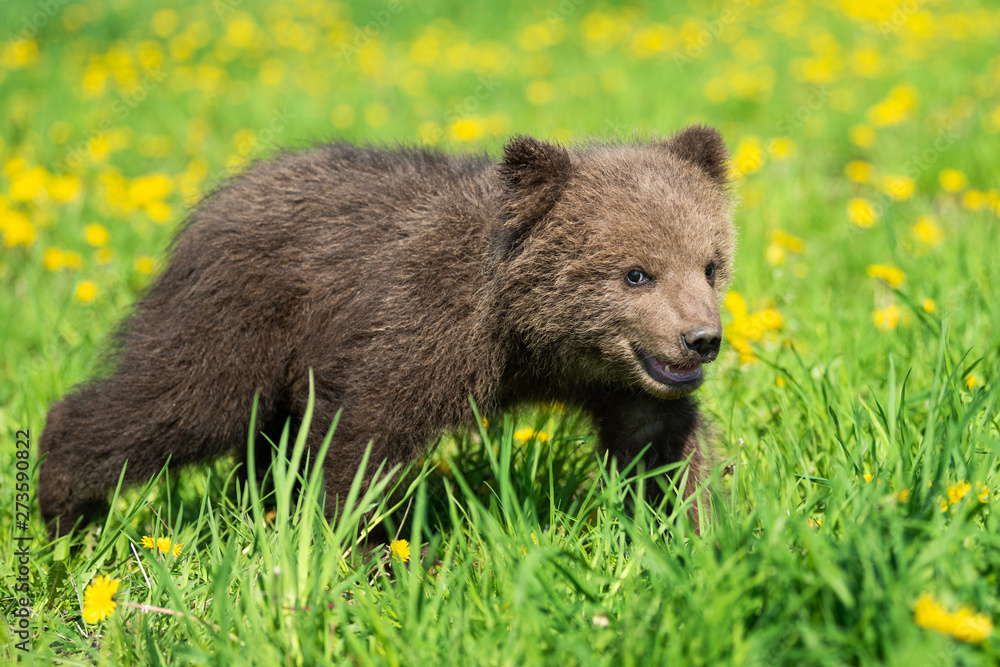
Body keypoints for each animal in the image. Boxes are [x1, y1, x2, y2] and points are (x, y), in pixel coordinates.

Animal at [38, 125, 734, 537]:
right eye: (636, 273)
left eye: (709, 264)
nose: (701, 339)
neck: (532, 339)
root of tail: (226, 192)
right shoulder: (422, 325)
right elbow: (364, 439)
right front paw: (370, 553)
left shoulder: (624, 380)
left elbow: (657, 442)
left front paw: (693, 534)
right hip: (240, 318)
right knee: (181, 400)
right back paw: (65, 509)